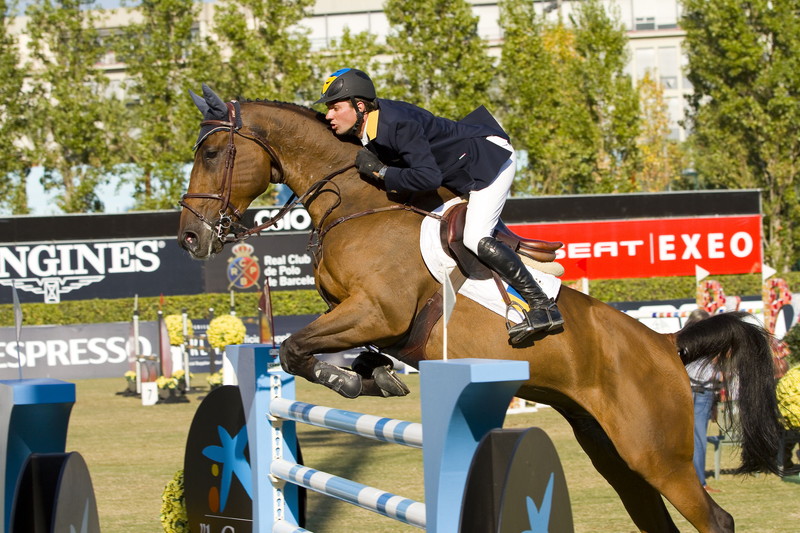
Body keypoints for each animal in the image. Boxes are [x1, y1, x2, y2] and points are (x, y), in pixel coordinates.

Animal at [177, 85, 780, 528]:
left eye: (211, 153)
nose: (188, 238)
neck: (358, 202)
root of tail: (664, 342)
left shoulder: (378, 311)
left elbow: (295, 348)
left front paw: (348, 380)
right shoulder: (359, 315)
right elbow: (309, 346)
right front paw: (373, 375)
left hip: (658, 455)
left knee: (715, 520)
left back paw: (539, 318)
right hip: (615, 454)